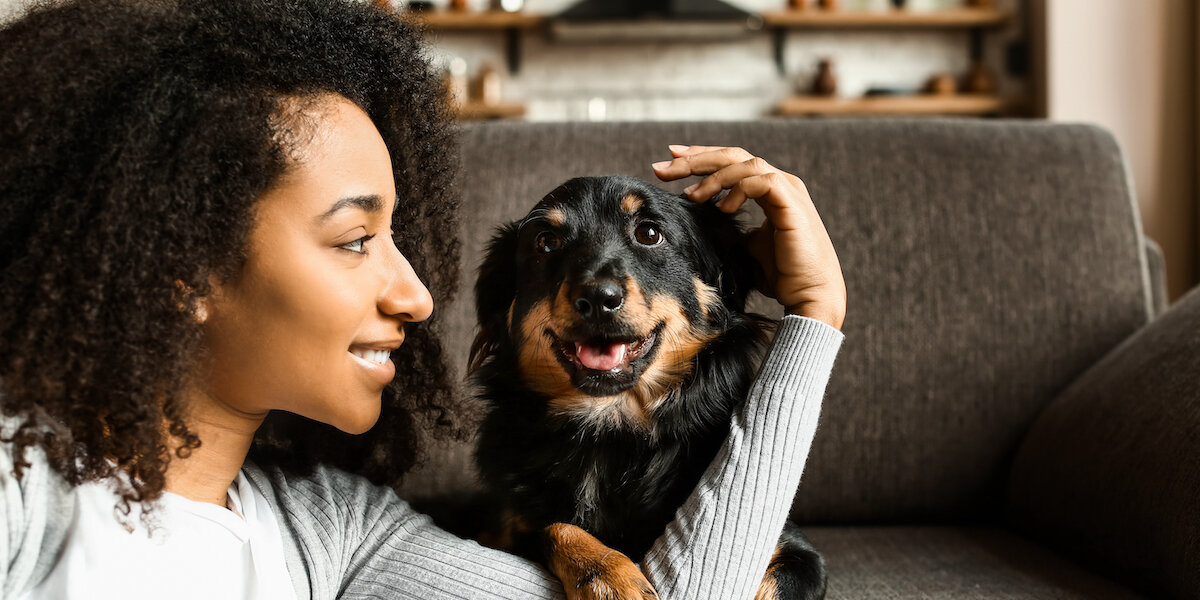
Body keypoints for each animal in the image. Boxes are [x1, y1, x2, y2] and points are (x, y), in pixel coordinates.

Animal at [468, 175, 825, 600]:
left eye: (649, 234)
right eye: (546, 242)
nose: (598, 298)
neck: (610, 426)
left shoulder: (796, 552)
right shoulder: (501, 529)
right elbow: (552, 527)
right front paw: (606, 573)